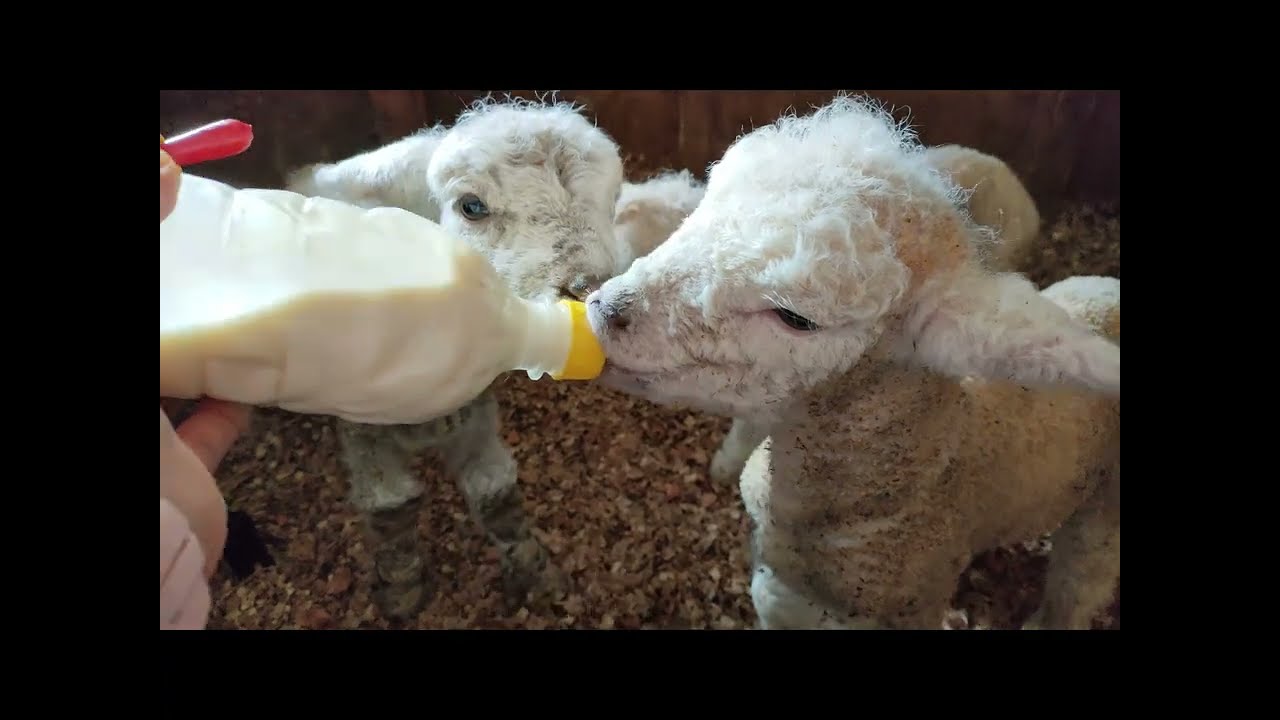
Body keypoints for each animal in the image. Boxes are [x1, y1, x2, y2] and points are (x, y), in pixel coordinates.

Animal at [284, 96, 629, 619]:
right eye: (472, 206)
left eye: (612, 201)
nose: (590, 291)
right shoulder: (361, 428)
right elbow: (390, 506)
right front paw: (402, 584)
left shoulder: (474, 410)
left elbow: (495, 497)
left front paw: (533, 570)